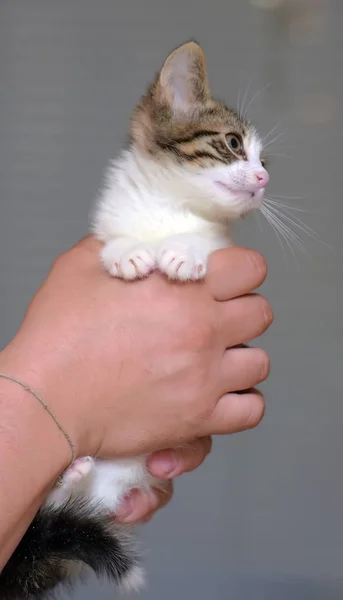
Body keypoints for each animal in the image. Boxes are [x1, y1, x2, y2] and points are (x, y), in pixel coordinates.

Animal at [0, 39, 268, 596]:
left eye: (263, 158)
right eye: (233, 143)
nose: (263, 177)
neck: (168, 208)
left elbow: (207, 242)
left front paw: (183, 252)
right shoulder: (109, 220)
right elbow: (113, 238)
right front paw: (126, 253)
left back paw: (75, 476)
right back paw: (68, 476)